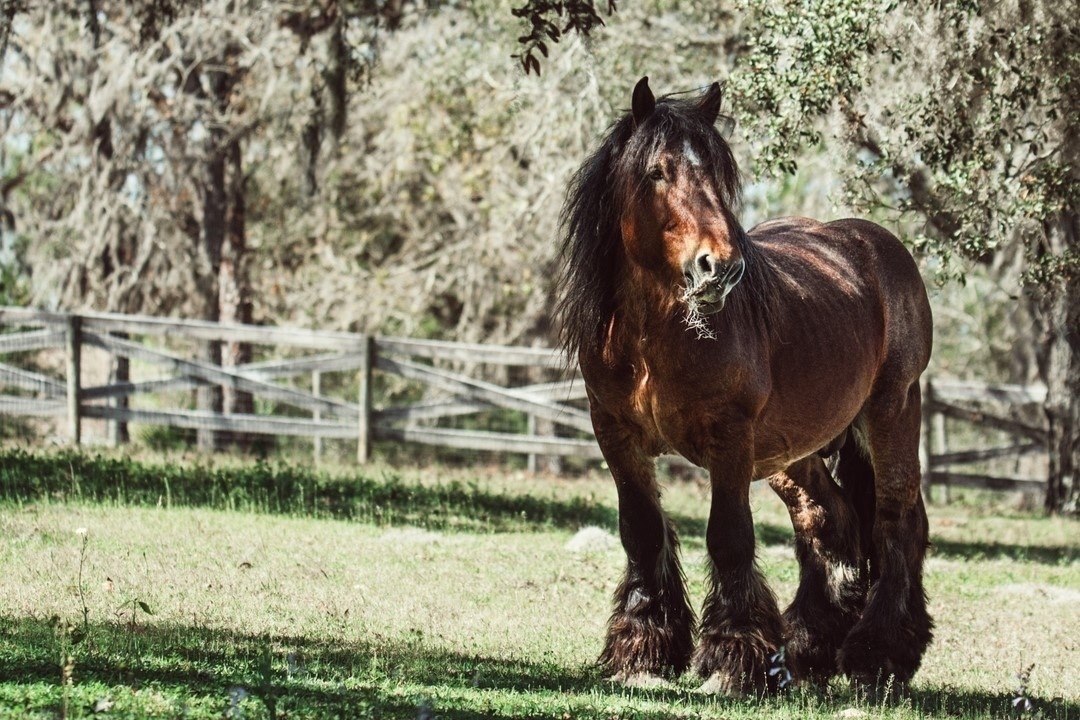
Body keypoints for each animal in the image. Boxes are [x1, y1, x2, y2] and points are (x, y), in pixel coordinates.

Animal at [556, 77, 933, 693]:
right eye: (657, 172)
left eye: (716, 174)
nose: (720, 267)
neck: (653, 337)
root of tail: (877, 247)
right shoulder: (616, 435)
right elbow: (642, 532)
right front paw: (643, 654)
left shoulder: (729, 441)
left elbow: (729, 537)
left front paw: (731, 660)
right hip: (791, 453)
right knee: (828, 521)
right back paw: (805, 649)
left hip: (892, 413)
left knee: (896, 522)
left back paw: (879, 655)